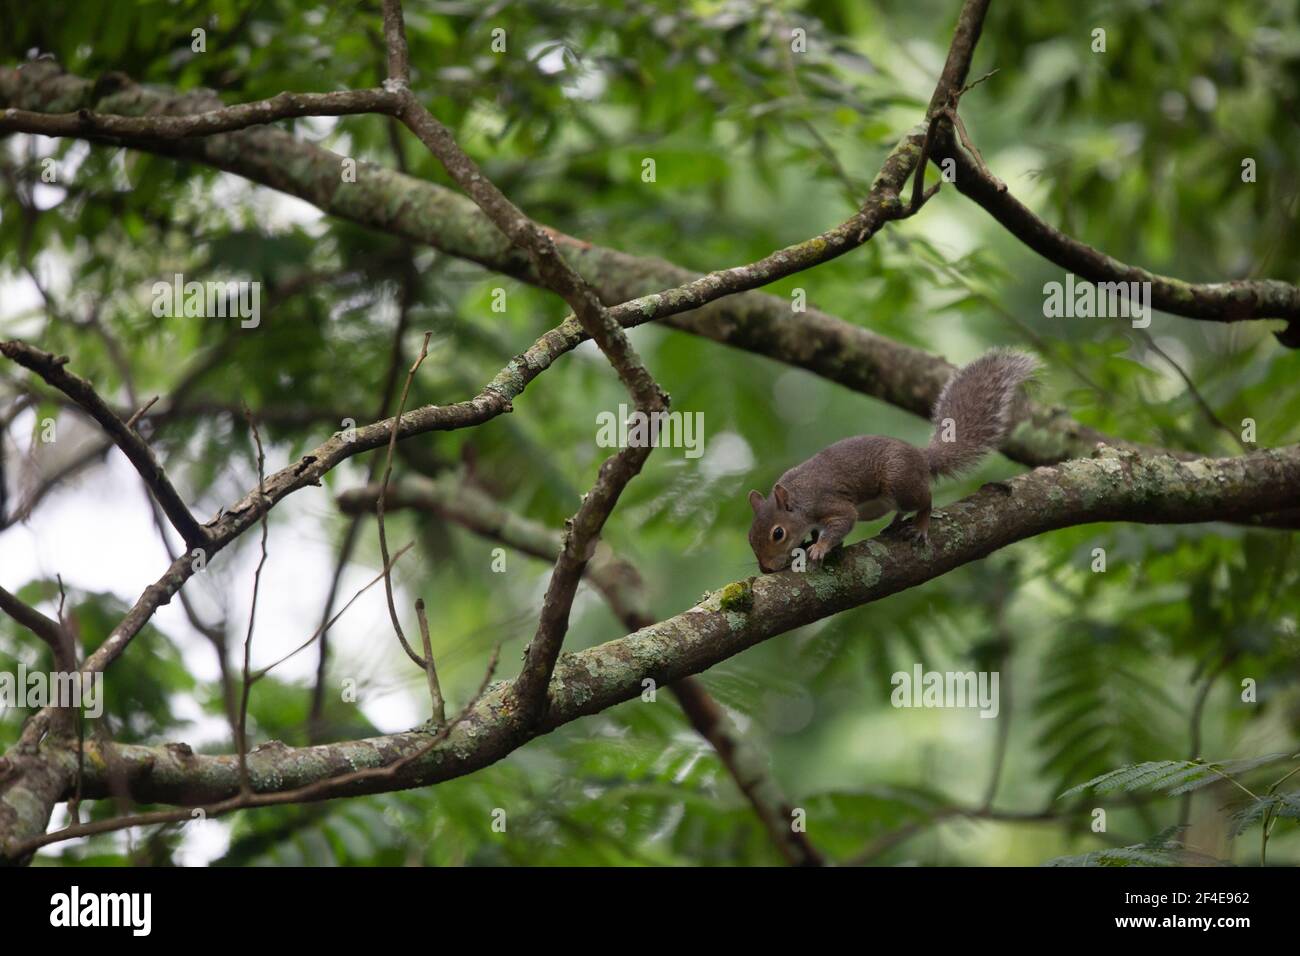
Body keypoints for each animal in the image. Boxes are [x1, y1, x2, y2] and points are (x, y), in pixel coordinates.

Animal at [747, 348, 1038, 573]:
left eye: (778, 534)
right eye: (750, 538)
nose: (766, 569)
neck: (799, 497)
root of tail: (921, 457)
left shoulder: (828, 503)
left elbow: (843, 521)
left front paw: (820, 547)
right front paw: (813, 542)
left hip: (898, 481)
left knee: (925, 500)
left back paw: (920, 526)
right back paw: (895, 523)